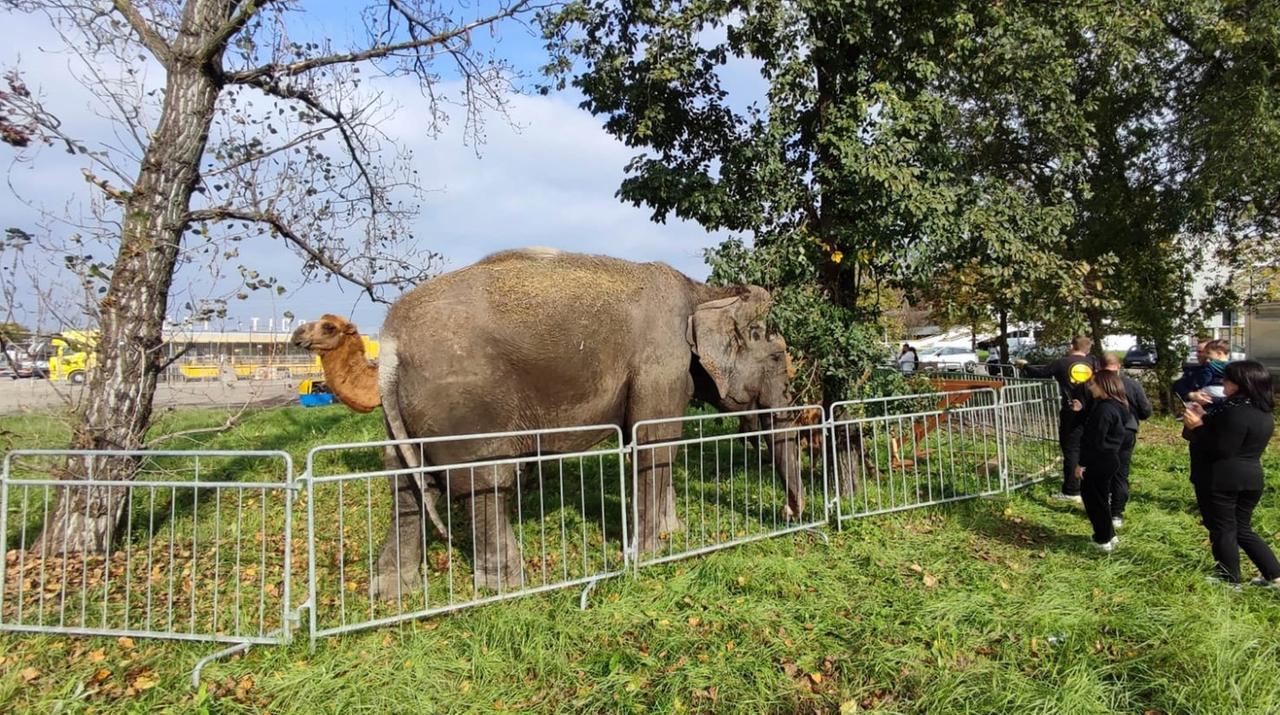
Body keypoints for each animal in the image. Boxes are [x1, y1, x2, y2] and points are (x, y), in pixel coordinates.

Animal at [372, 248, 803, 596]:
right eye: (776, 357)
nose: (789, 513)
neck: (704, 291)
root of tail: (392, 340)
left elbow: (657, 444)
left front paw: (673, 533)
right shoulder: (660, 360)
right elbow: (654, 443)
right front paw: (651, 553)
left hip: (409, 415)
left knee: (407, 485)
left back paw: (394, 592)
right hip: (468, 405)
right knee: (488, 481)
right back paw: (508, 584)